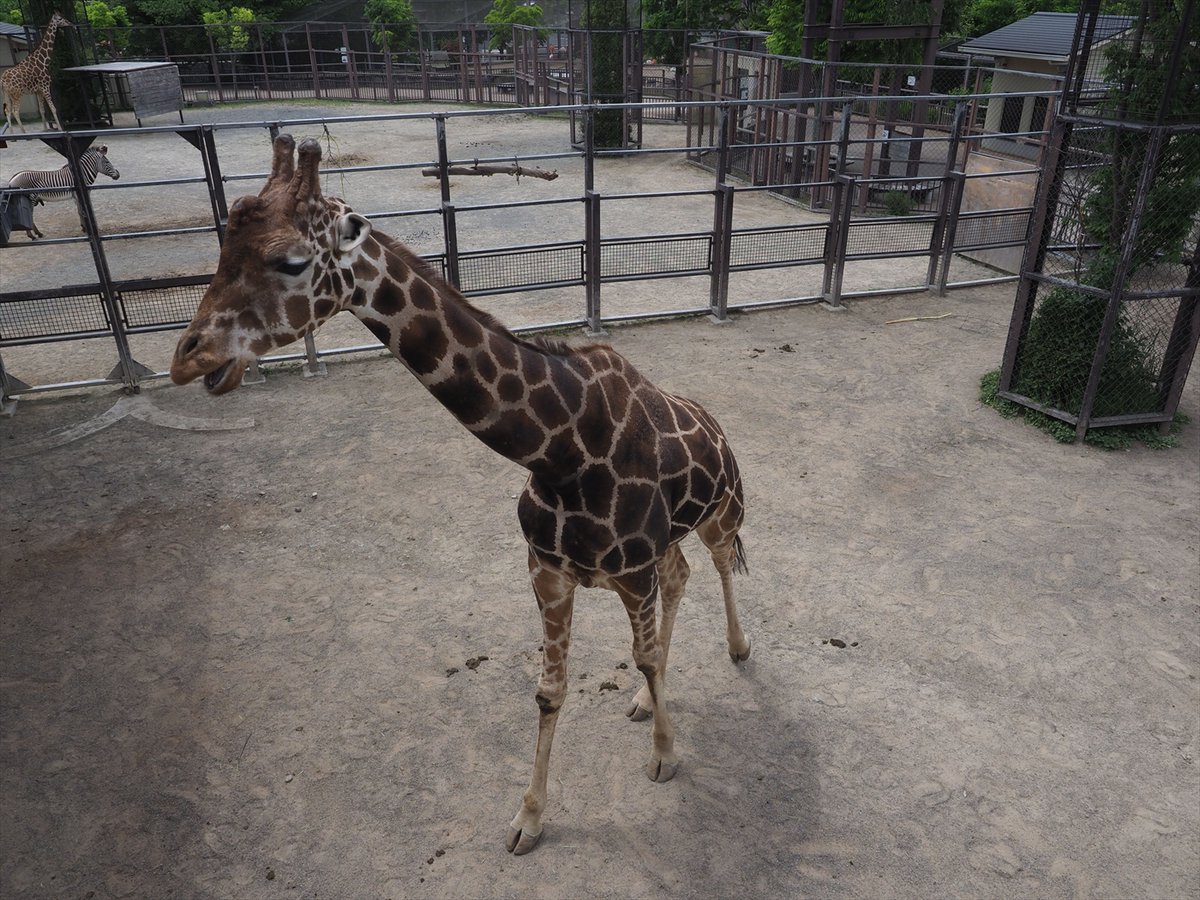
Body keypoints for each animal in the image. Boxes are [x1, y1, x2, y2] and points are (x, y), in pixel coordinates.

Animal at [171, 135, 752, 855]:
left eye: (291, 260)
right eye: (222, 249)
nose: (187, 357)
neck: (562, 450)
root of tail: (719, 430)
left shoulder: (631, 569)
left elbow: (640, 657)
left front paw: (666, 756)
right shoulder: (548, 571)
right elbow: (549, 691)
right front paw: (529, 818)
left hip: (722, 511)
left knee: (720, 563)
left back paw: (737, 649)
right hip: (667, 543)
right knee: (684, 575)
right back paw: (650, 699)